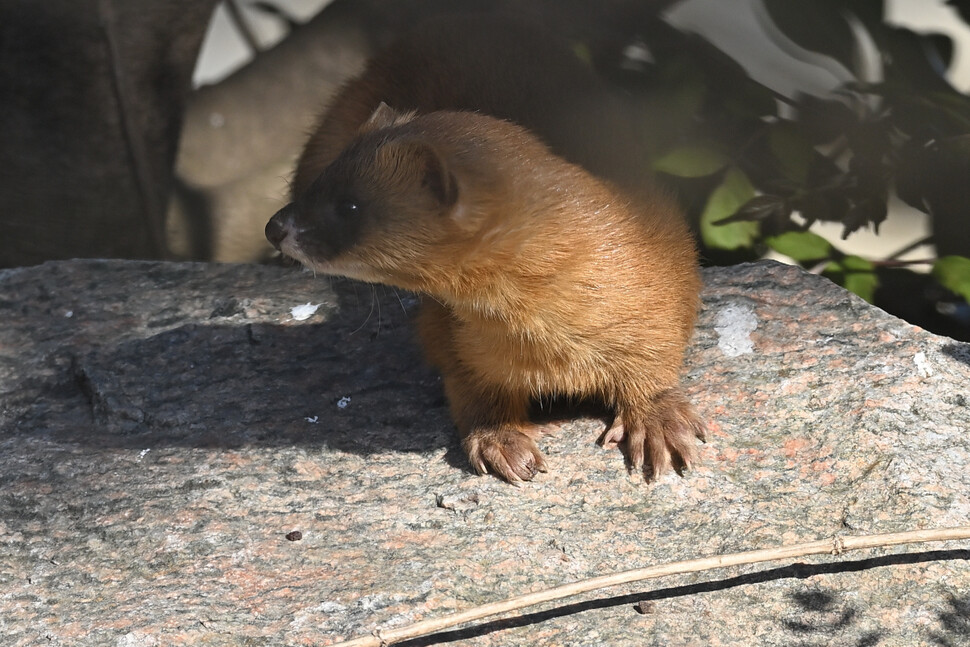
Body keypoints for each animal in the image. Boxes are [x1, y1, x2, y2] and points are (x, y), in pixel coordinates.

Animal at [266, 105, 704, 480]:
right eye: (322, 181)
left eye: (350, 206)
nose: (273, 227)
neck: (549, 351)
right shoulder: (452, 335)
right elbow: (470, 388)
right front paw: (502, 442)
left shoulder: (664, 281)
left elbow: (656, 358)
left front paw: (659, 422)